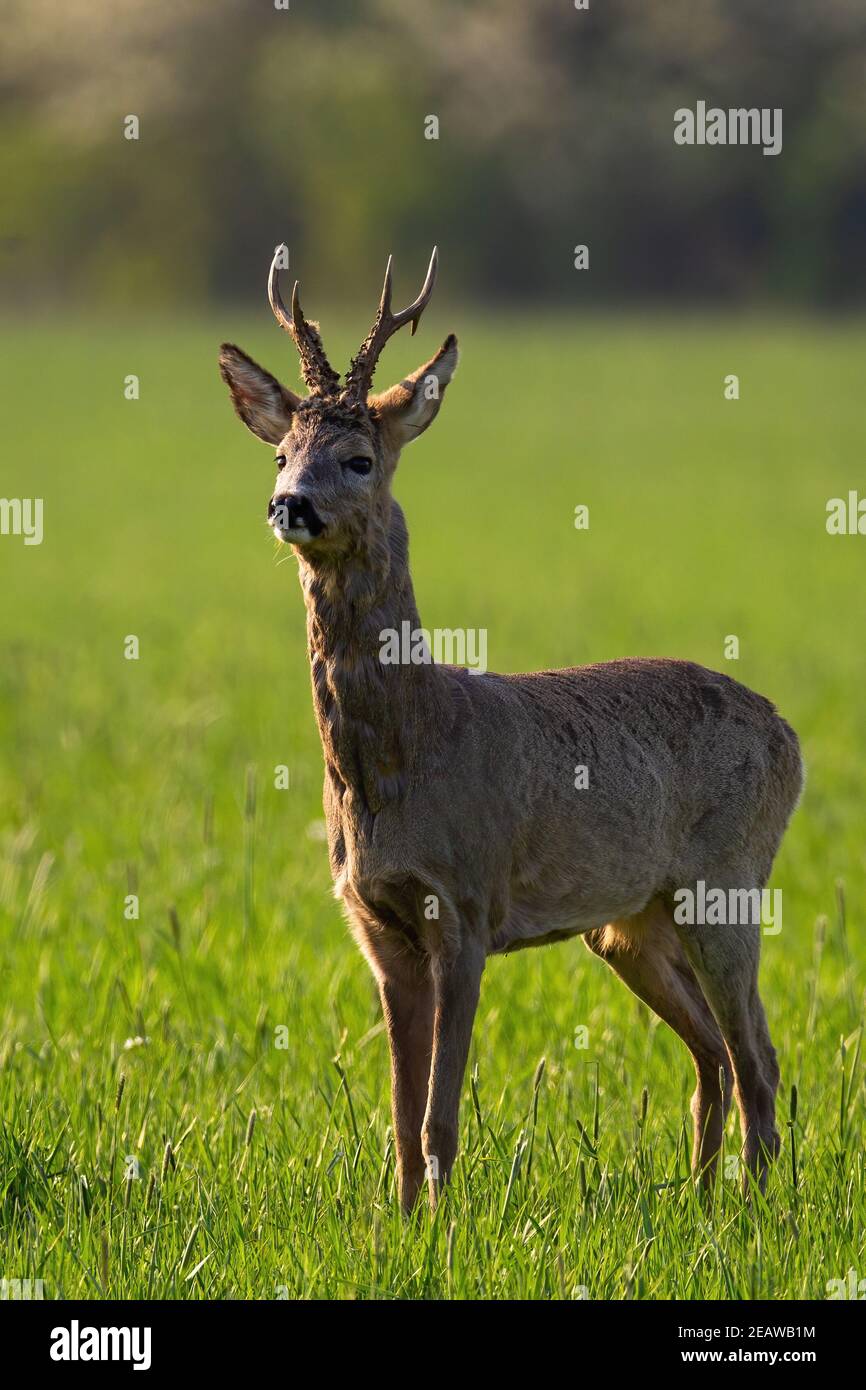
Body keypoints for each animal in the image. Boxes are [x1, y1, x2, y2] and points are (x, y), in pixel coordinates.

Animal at [219, 247, 803, 1212]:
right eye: (279, 451)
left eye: (359, 457)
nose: (288, 504)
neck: (400, 757)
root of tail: (790, 735)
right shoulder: (376, 925)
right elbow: (399, 1119)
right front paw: (400, 1223)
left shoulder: (466, 904)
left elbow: (437, 1117)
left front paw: (444, 1227)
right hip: (632, 924)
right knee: (714, 1056)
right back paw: (700, 1198)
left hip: (727, 882)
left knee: (759, 1057)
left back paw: (757, 1214)